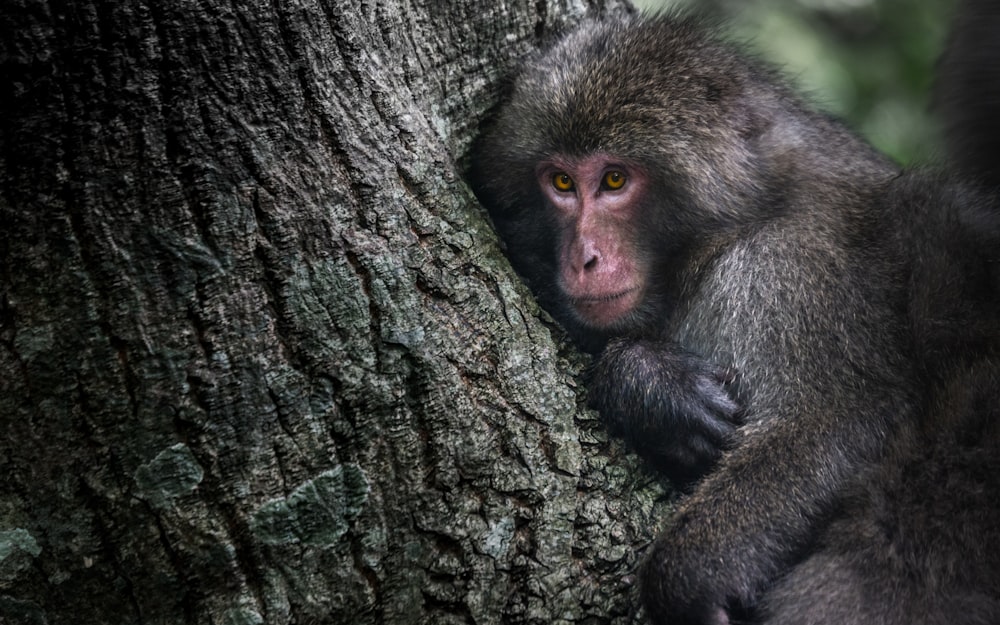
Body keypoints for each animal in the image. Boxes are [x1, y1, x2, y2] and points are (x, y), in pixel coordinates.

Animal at [472, 9, 1000, 624]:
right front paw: (651, 386)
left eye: (614, 180)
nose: (585, 259)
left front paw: (689, 575)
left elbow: (838, 422)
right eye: (560, 182)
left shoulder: (783, 273)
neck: (744, 217)